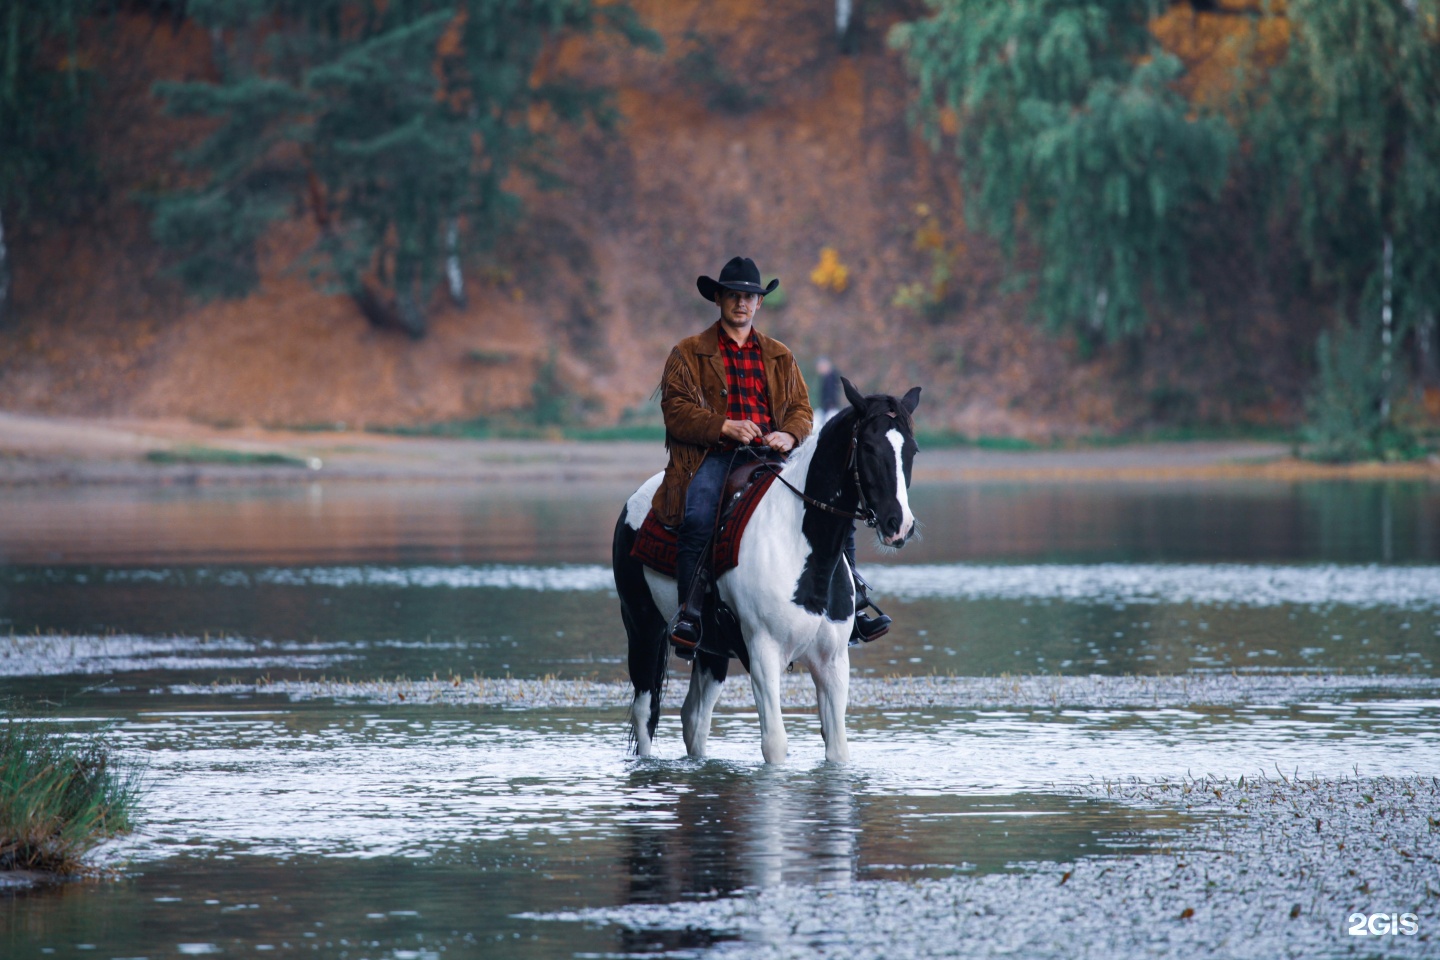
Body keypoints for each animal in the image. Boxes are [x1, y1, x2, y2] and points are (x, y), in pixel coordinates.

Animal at [613, 379, 915, 759]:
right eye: (871, 448)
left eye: (913, 451)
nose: (899, 525)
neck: (803, 553)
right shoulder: (763, 655)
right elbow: (775, 743)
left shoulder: (832, 662)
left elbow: (837, 748)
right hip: (643, 628)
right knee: (645, 712)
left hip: (711, 652)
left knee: (694, 718)